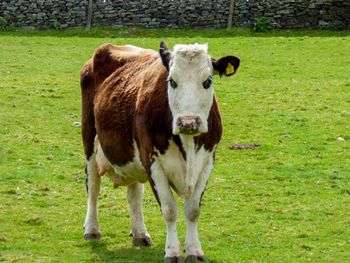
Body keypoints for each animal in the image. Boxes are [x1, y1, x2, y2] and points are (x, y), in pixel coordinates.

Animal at [79, 40, 238, 262]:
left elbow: (193, 209)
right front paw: (172, 252)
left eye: (207, 81)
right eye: (172, 81)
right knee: (93, 187)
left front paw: (194, 251)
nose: (188, 122)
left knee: (134, 194)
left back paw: (140, 234)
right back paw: (92, 229)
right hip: (89, 141)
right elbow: (169, 209)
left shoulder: (207, 161)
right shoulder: (152, 160)